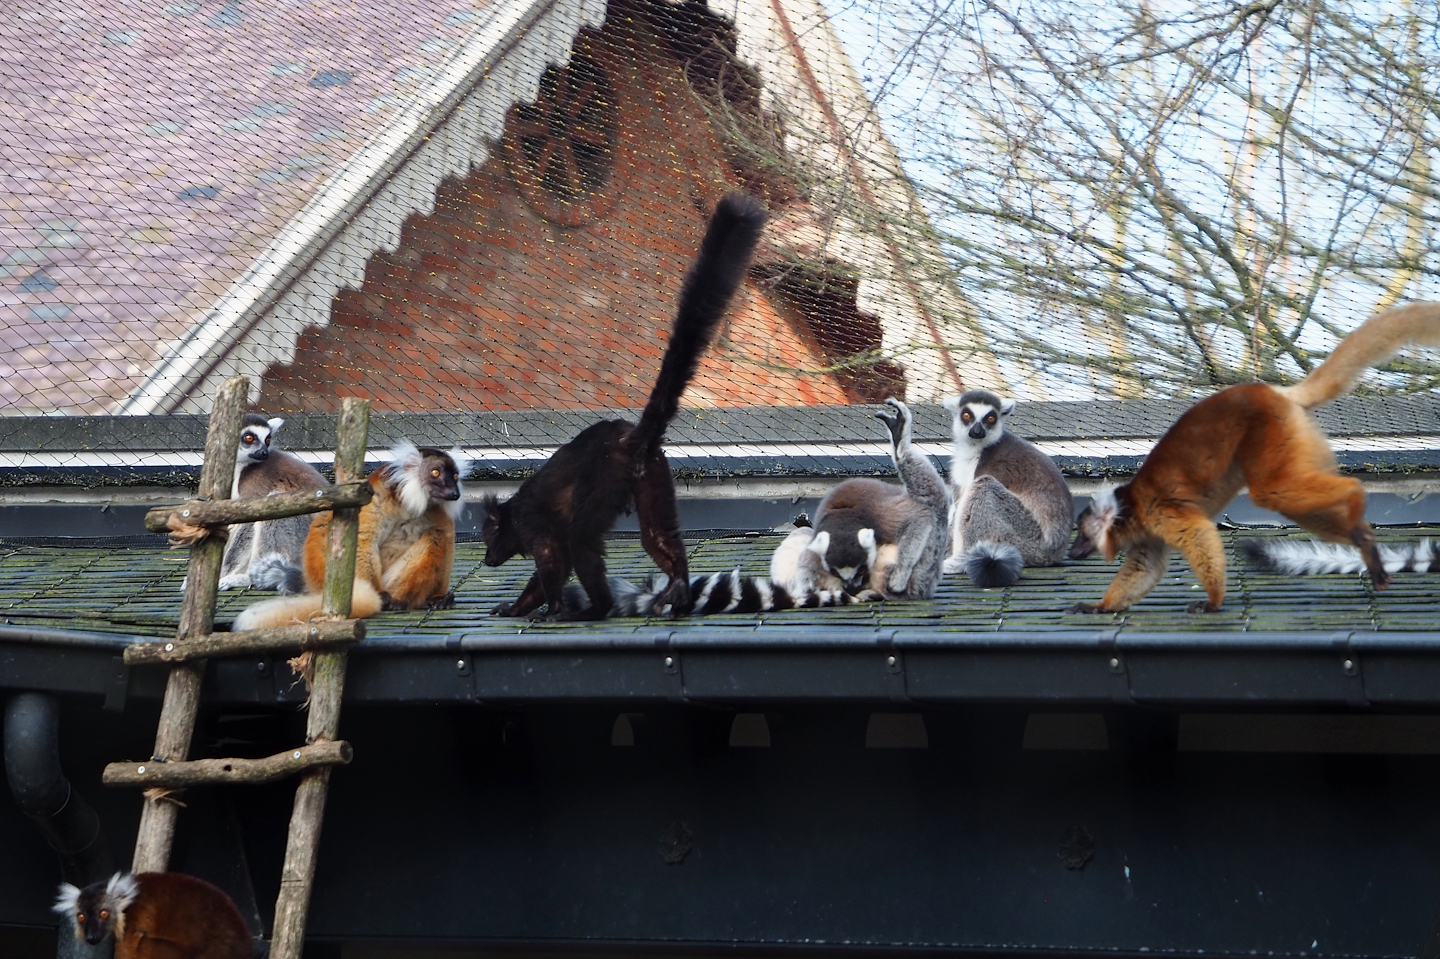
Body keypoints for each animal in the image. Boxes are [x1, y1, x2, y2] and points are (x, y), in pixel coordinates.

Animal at [216, 413, 326, 594]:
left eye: (267, 440)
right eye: (249, 437)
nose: (264, 452)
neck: (242, 465)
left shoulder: (254, 484)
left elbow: (250, 519)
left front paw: (222, 573)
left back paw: (248, 577)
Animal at [233, 442, 465, 629]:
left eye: (454, 477)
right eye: (435, 473)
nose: (455, 493)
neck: (407, 503)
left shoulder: (437, 509)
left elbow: (447, 536)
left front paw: (438, 597)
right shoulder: (374, 496)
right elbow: (362, 539)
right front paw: (379, 596)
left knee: (436, 536)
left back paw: (401, 600)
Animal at [481, 193, 765, 621]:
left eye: (488, 536)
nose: (485, 559)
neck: (513, 513)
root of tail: (630, 438)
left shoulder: (531, 524)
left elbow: (553, 557)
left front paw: (544, 609)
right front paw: (515, 607)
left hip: (606, 477)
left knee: (582, 538)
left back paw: (596, 608)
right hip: (653, 474)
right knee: (656, 533)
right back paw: (678, 584)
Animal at [939, 389, 1074, 588]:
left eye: (990, 418)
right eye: (967, 415)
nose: (977, 431)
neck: (975, 449)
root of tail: (1053, 556)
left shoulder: (995, 465)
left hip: (1025, 536)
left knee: (983, 487)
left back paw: (962, 560)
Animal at [1069, 301, 1440, 613]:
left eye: (1083, 533)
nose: (1072, 551)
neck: (1130, 509)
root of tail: (1273, 391)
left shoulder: (1160, 513)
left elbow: (1199, 533)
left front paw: (1213, 602)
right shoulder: (1148, 533)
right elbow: (1145, 566)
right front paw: (1098, 607)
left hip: (1270, 430)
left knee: (1271, 492)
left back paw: (1354, 495)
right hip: (1295, 436)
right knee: (1293, 504)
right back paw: (1362, 539)